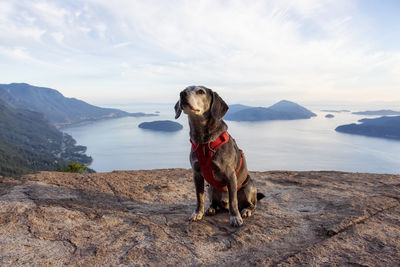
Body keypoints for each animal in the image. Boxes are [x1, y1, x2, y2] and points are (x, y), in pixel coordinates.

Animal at [174, 86, 262, 228]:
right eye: (184, 89)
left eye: (200, 91)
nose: (182, 94)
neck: (204, 142)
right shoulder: (197, 175)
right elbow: (199, 198)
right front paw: (198, 213)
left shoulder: (230, 176)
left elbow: (233, 201)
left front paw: (235, 217)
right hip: (211, 188)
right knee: (215, 202)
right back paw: (212, 208)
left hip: (247, 188)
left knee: (251, 204)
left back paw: (246, 210)